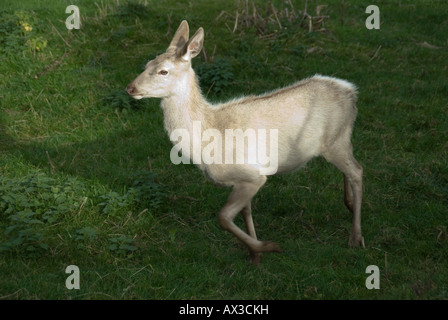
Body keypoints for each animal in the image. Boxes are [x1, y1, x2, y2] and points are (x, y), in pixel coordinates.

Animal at [126, 20, 364, 264]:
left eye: (163, 71)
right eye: (147, 64)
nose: (130, 88)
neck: (207, 142)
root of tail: (351, 91)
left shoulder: (252, 175)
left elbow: (223, 217)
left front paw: (268, 247)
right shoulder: (243, 179)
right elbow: (245, 212)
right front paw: (254, 254)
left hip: (337, 140)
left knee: (357, 170)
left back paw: (356, 237)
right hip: (338, 140)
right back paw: (348, 204)